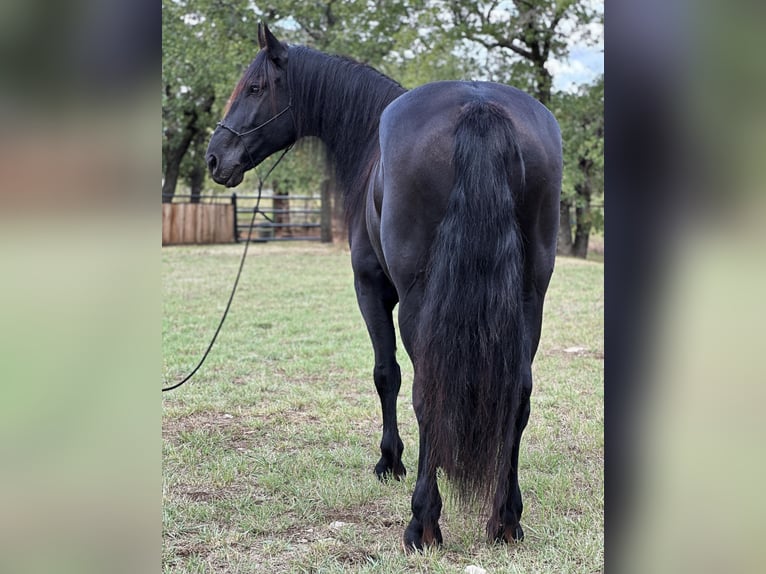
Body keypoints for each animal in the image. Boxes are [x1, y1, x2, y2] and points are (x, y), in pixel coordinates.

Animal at [206, 23, 564, 552]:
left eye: (254, 88)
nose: (215, 158)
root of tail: (479, 108)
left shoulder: (371, 287)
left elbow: (385, 375)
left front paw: (390, 462)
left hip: (421, 303)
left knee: (426, 391)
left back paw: (423, 523)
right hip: (528, 300)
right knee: (518, 393)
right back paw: (506, 520)